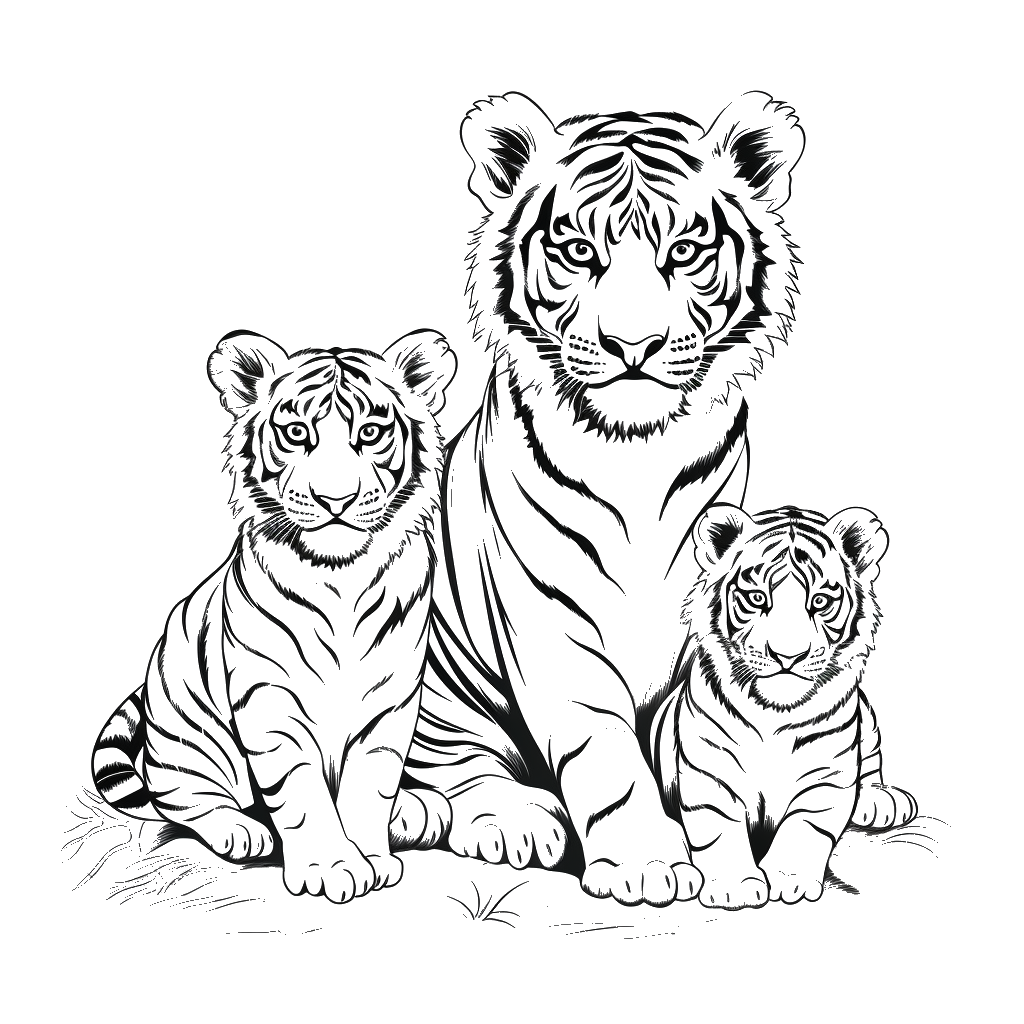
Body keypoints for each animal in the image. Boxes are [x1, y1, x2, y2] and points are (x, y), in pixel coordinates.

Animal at [91, 328, 457, 903]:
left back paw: (416, 810)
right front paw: (333, 866)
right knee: (180, 799)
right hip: (185, 740)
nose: (335, 499)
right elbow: (300, 790)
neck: (341, 575)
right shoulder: (270, 699)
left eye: (370, 433)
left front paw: (373, 858)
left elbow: (371, 784)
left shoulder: (389, 698)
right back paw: (242, 831)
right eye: (296, 432)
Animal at [403, 90, 821, 906]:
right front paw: (646, 863)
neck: (638, 451)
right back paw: (514, 823)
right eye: (576, 252)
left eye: (685, 253)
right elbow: (606, 751)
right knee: (456, 769)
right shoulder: (549, 617)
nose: (634, 346)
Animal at [650, 504, 917, 909]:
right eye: (757, 598)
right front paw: (734, 886)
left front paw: (790, 880)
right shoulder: (710, 773)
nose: (788, 656)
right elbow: (720, 828)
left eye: (821, 601)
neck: (772, 712)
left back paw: (879, 800)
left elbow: (805, 828)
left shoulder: (828, 777)